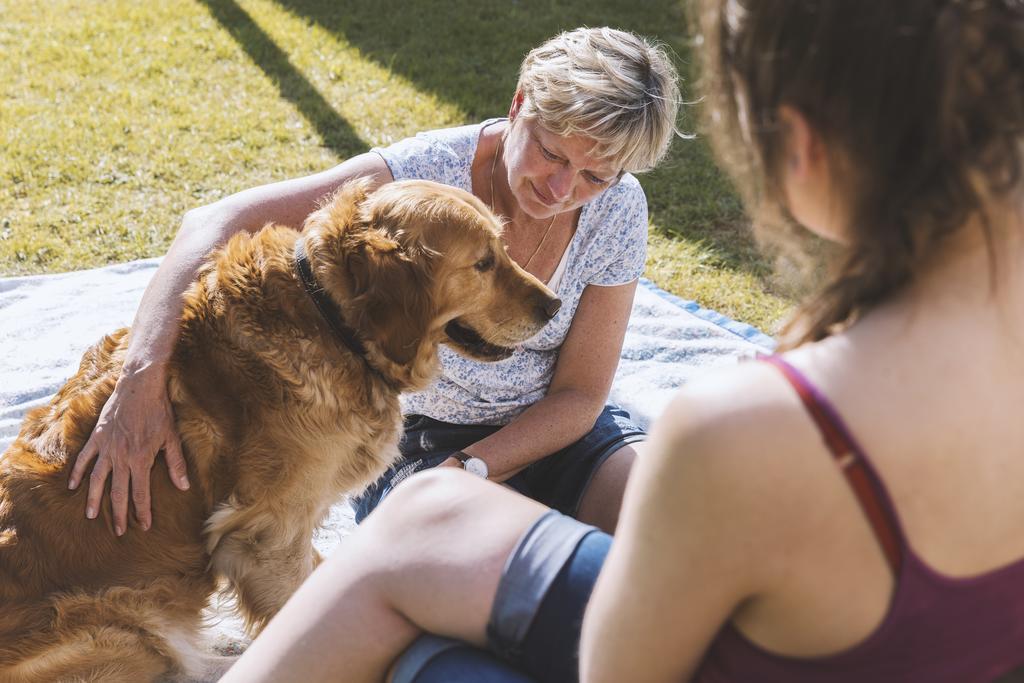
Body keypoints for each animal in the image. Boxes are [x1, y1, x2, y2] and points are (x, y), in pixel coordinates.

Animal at [0, 179, 561, 679]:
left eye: (502, 249)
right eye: (483, 263)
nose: (554, 306)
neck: (331, 321)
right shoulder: (268, 532)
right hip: (120, 624)